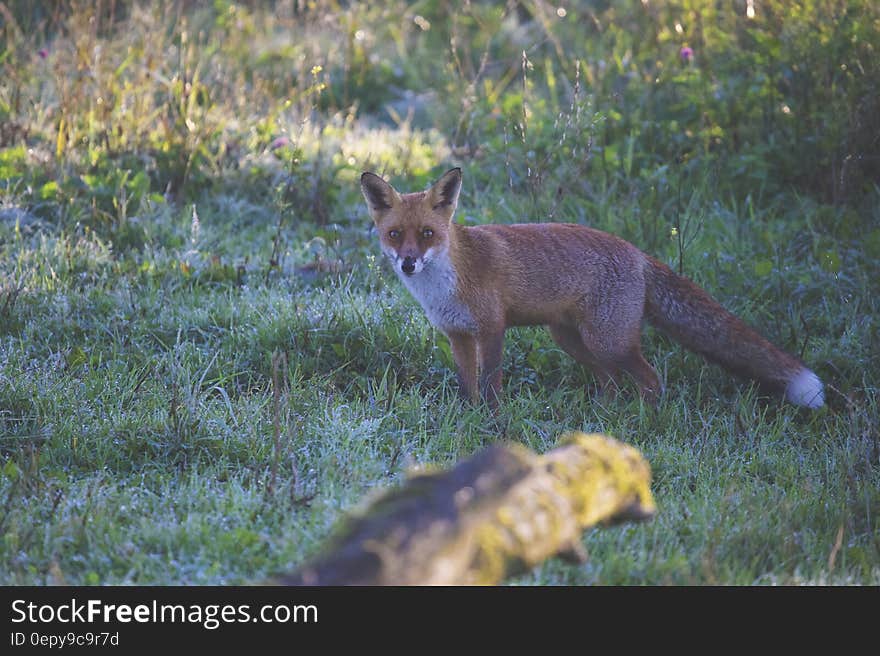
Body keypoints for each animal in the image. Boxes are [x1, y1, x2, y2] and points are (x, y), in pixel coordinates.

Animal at [360, 168, 824, 410]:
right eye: (396, 234)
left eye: (427, 234)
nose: (408, 263)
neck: (445, 284)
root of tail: (638, 253)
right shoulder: (458, 334)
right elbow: (467, 385)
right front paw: (469, 417)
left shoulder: (491, 329)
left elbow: (491, 384)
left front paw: (492, 422)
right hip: (573, 339)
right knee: (612, 383)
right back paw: (602, 422)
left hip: (608, 341)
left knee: (651, 379)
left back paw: (643, 422)